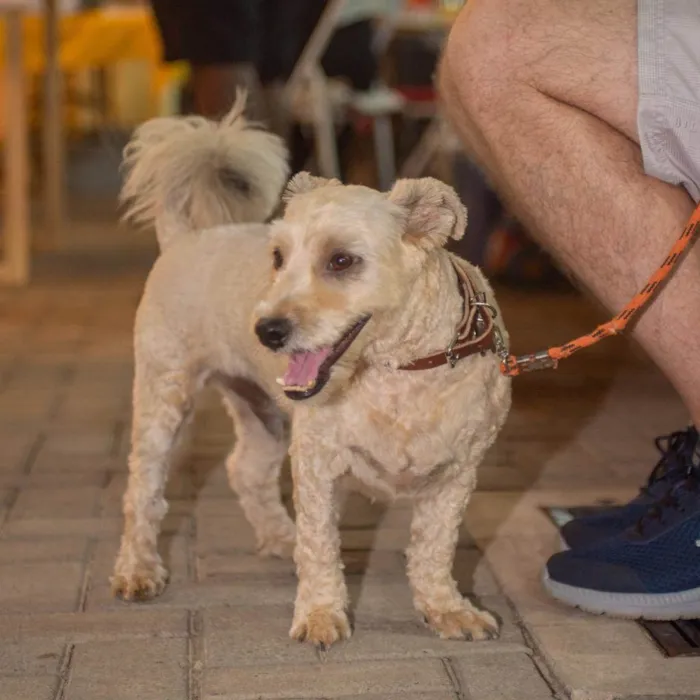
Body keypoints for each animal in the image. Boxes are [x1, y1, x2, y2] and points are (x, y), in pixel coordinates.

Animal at [112, 94, 512, 652]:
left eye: (342, 260)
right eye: (278, 257)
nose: (267, 330)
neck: (398, 369)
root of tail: (184, 239)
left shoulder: (456, 475)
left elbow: (434, 549)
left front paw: (448, 609)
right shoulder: (319, 462)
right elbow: (321, 546)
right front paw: (322, 615)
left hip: (263, 413)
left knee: (245, 470)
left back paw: (281, 538)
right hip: (163, 397)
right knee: (143, 491)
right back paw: (138, 569)